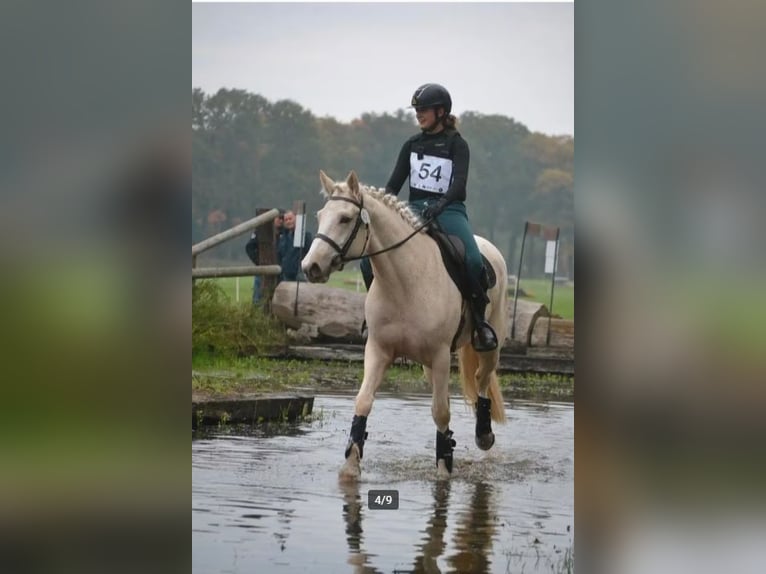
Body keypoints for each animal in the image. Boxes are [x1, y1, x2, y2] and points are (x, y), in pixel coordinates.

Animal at [301, 170, 508, 480]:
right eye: (320, 215)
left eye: (345, 219)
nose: (310, 266)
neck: (403, 281)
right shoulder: (379, 350)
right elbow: (364, 401)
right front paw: (351, 464)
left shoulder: (440, 355)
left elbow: (440, 412)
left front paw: (444, 466)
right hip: (427, 365)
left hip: (487, 344)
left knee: (481, 379)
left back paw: (484, 435)